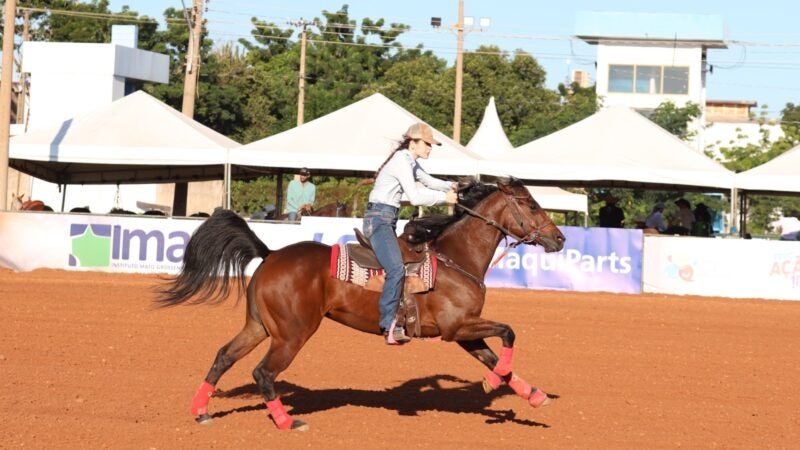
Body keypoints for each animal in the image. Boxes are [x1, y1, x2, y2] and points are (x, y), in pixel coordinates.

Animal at [157, 178, 566, 431]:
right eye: (531, 204)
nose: (560, 238)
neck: (455, 258)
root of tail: (270, 253)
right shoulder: (456, 328)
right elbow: (509, 333)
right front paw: (494, 384)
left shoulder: (465, 331)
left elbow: (498, 359)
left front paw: (533, 395)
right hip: (292, 334)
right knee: (263, 372)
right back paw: (288, 422)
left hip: (258, 326)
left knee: (224, 356)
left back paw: (202, 411)